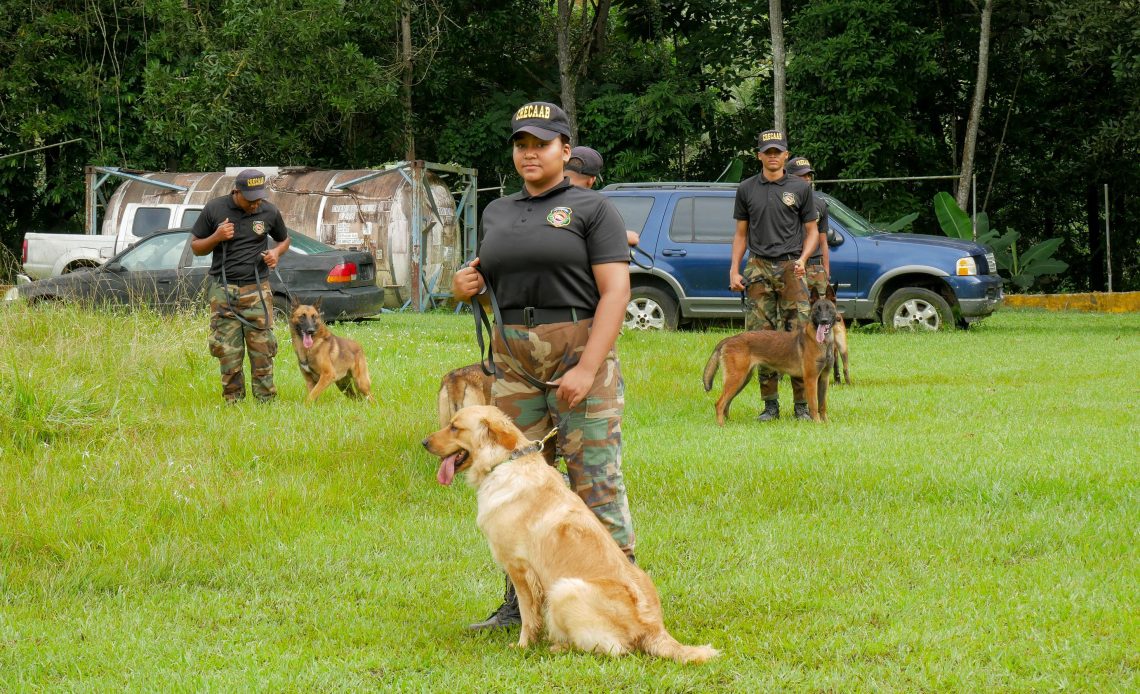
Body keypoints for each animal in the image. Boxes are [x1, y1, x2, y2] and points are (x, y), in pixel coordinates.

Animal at [697, 289, 843, 423]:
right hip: (736, 378)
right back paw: (721, 426)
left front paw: (826, 423)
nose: (824, 321)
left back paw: (730, 424)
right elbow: (814, 404)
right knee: (719, 403)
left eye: (829, 309)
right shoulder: (811, 379)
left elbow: (822, 404)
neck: (823, 343)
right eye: (817, 310)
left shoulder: (823, 378)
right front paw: (817, 423)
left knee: (726, 403)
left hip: (742, 379)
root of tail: (729, 339)